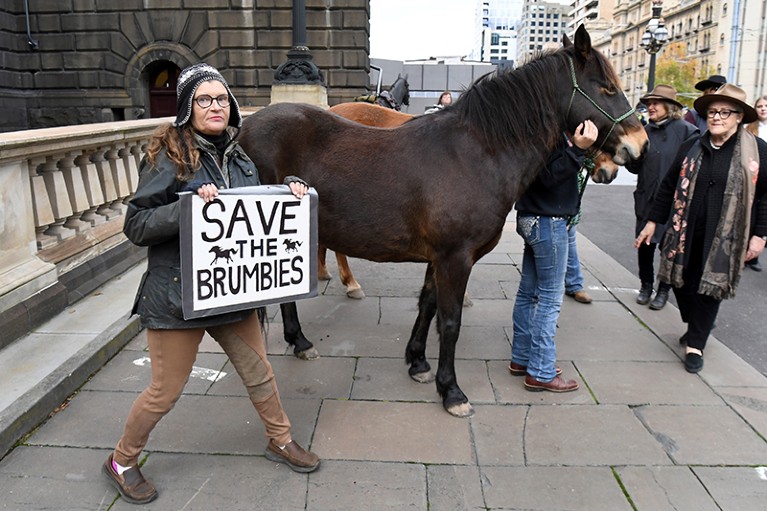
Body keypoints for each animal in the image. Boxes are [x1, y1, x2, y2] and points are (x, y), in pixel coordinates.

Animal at [242, 26, 648, 418]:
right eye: (607, 87)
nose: (639, 145)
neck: (475, 152)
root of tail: (242, 130)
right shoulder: (455, 257)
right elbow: (450, 322)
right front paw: (451, 391)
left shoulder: (438, 257)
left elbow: (428, 305)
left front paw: (418, 362)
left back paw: (299, 340)